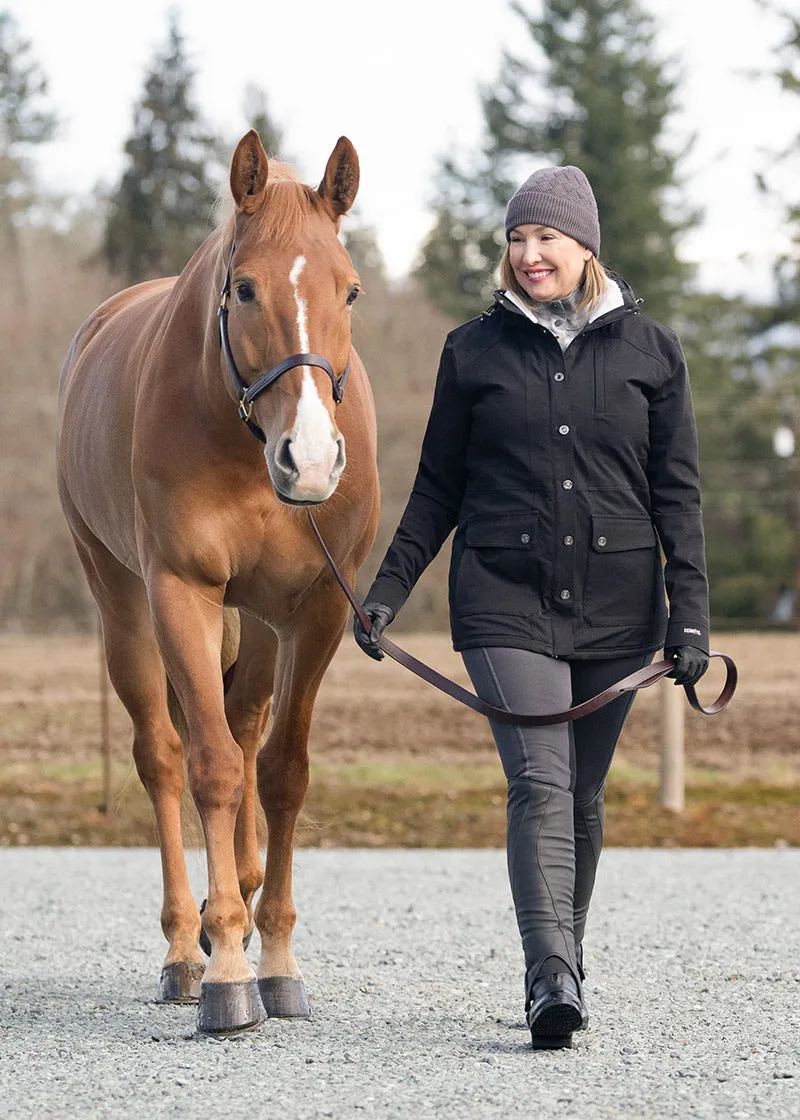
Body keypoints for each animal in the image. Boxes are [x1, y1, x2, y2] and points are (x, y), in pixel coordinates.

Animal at [56, 135, 380, 1034]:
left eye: (350, 288)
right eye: (244, 288)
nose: (311, 460)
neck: (243, 438)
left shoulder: (315, 611)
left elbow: (281, 772)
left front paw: (276, 958)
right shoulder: (183, 593)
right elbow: (210, 770)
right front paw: (232, 967)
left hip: (260, 627)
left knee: (244, 729)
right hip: (123, 605)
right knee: (163, 758)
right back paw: (184, 946)